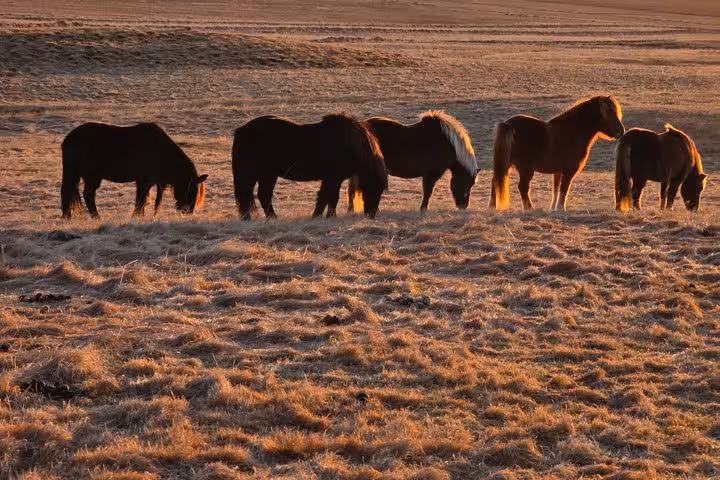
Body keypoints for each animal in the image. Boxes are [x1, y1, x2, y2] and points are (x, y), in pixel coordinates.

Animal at [61, 122, 207, 219]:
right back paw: (87, 217)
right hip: (84, 175)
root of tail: (67, 139)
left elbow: (144, 200)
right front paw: (136, 216)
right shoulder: (143, 181)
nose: (188, 212)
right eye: (190, 190)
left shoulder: (150, 183)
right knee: (80, 193)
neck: (160, 151)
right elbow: (140, 200)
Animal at [231, 113, 387, 220]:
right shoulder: (332, 178)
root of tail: (241, 131)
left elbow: (331, 197)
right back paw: (257, 218)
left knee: (261, 195)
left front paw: (330, 216)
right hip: (257, 174)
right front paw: (318, 216)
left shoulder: (334, 179)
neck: (350, 144)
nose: (370, 215)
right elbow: (325, 197)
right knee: (251, 195)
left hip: (267, 175)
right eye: (375, 188)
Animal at [346, 110, 478, 212]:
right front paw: (423, 209)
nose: (464, 206)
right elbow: (428, 192)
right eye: (466, 183)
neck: (446, 144)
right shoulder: (431, 174)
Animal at [489, 95, 625, 211]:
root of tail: (508, 124)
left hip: (506, 163)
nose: (621, 131)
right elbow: (564, 190)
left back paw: (492, 206)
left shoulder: (558, 172)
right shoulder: (568, 172)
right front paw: (561, 209)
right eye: (609, 111)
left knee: (495, 180)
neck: (571, 132)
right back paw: (529, 209)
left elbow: (556, 190)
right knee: (522, 187)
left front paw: (553, 209)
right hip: (525, 169)